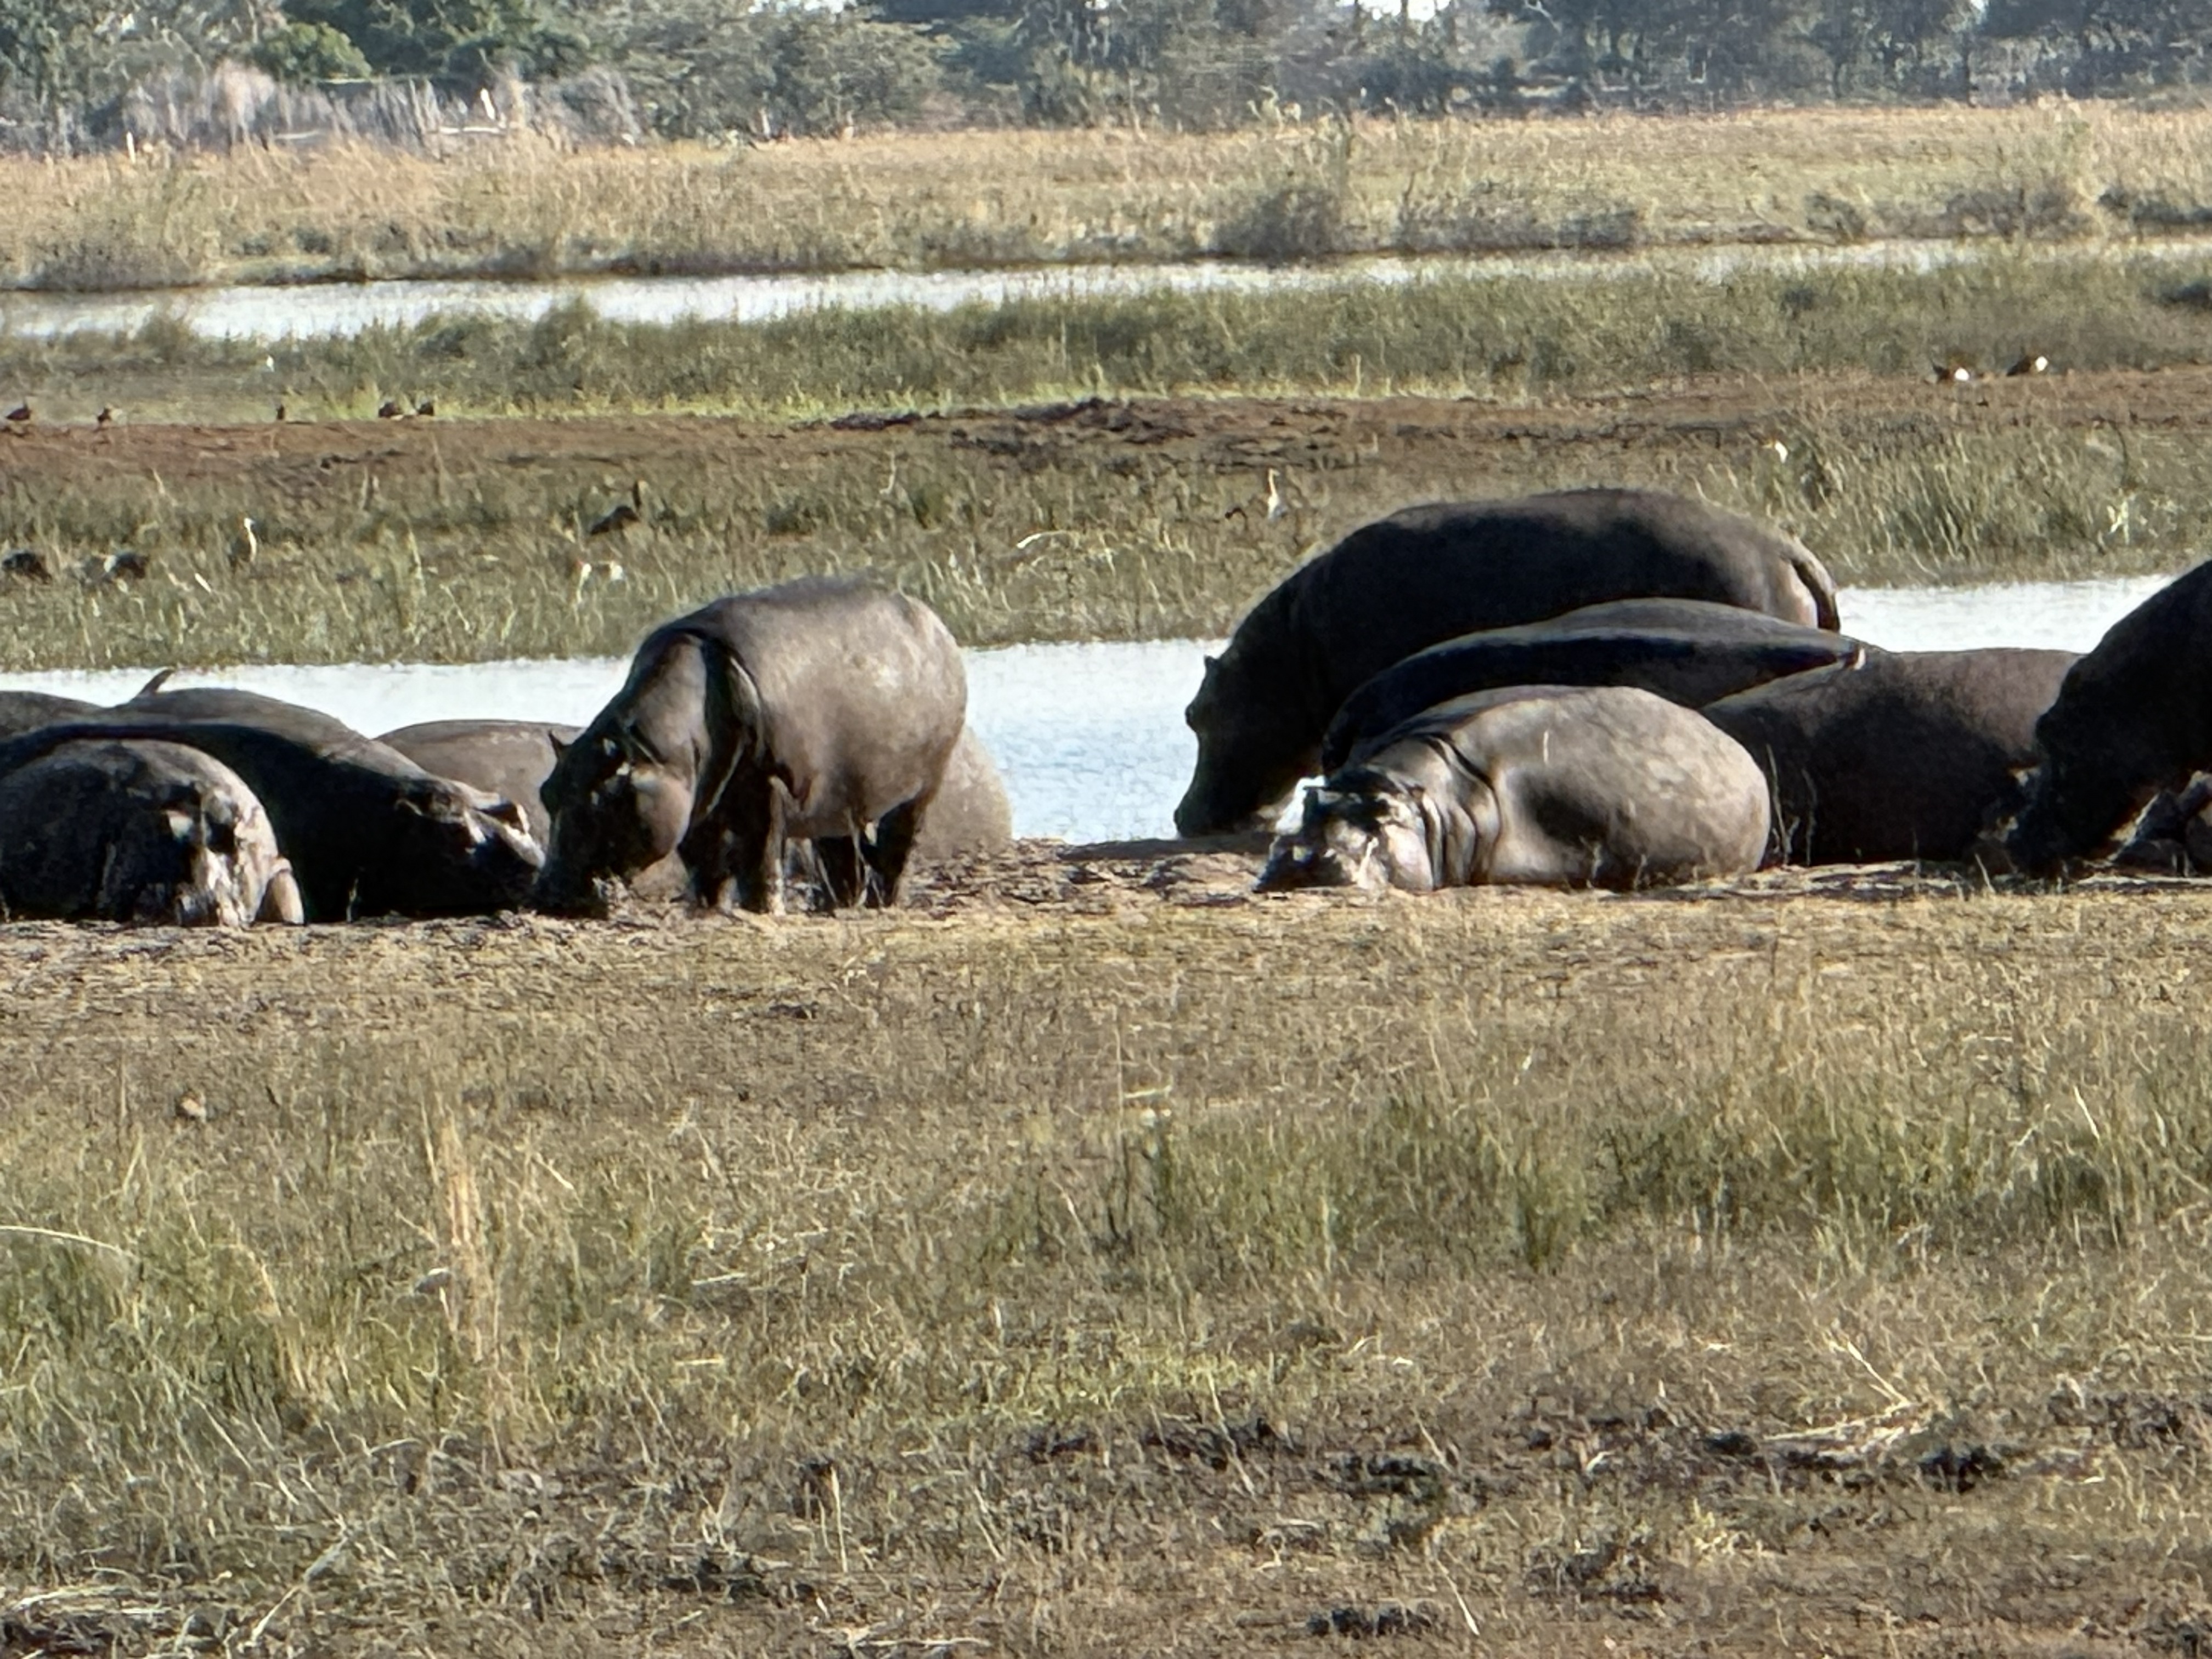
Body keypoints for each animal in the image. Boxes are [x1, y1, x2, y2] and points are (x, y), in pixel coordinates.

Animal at [536, 578, 967, 916]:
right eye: (546, 792)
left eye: (604, 799)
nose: (549, 892)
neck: (660, 752)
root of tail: (935, 622)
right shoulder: (697, 802)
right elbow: (705, 866)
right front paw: (710, 907)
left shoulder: (768, 785)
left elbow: (760, 859)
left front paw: (762, 910)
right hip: (839, 803)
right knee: (845, 860)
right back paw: (839, 906)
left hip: (921, 790)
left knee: (896, 851)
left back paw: (884, 904)